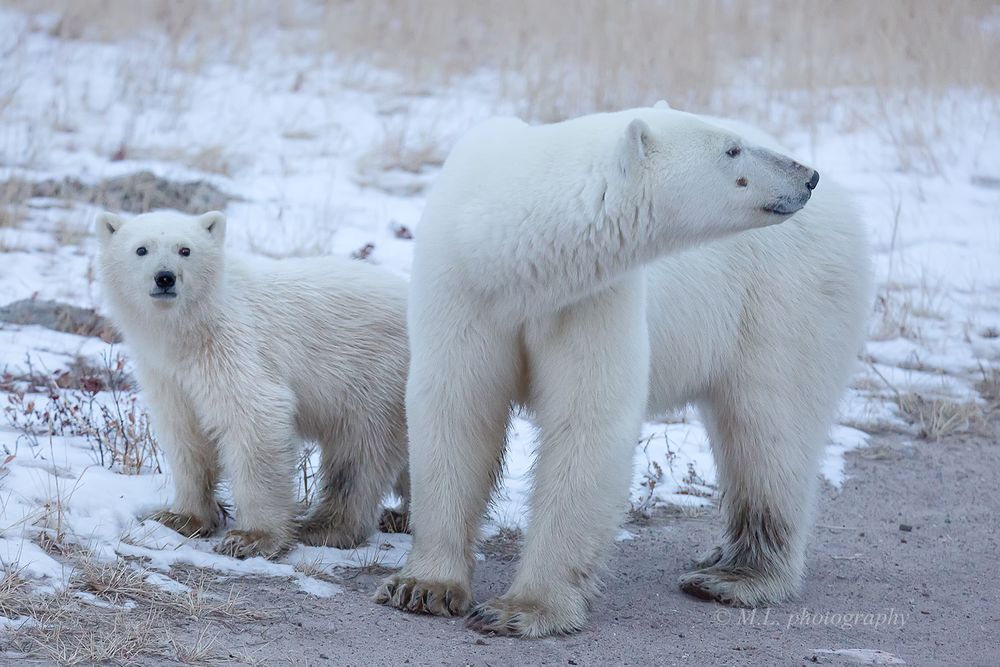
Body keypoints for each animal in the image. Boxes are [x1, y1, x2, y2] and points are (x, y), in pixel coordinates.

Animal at [378, 107, 872, 640]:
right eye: (732, 149)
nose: (806, 177)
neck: (510, 255)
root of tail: (846, 201)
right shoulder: (463, 290)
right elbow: (456, 409)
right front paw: (422, 587)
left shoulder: (591, 301)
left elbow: (586, 424)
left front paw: (521, 608)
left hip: (783, 301)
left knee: (768, 429)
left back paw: (735, 576)